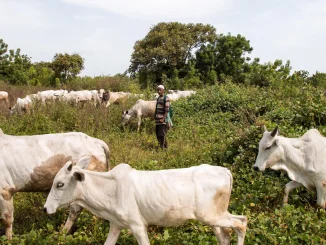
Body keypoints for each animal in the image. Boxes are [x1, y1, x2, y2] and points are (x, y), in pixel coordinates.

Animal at [44, 161, 247, 245]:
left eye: (60, 184)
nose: (46, 209)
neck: (110, 189)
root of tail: (224, 170)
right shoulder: (116, 225)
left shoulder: (138, 226)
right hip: (214, 218)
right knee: (225, 236)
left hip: (211, 216)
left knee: (241, 222)